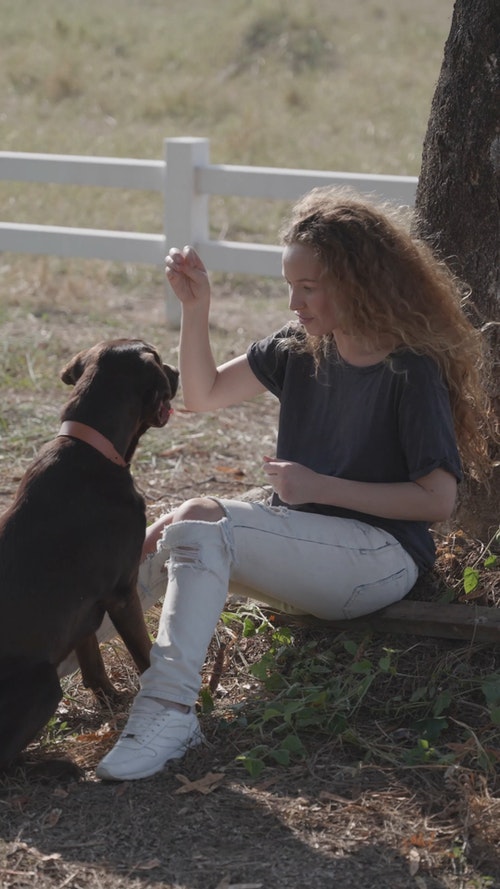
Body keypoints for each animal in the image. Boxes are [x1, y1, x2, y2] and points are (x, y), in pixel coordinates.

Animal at [0, 336, 179, 768]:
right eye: (160, 358)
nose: (179, 371)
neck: (91, 446)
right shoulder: (122, 592)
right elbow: (145, 652)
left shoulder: (84, 607)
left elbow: (92, 663)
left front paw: (112, 701)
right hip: (44, 683)